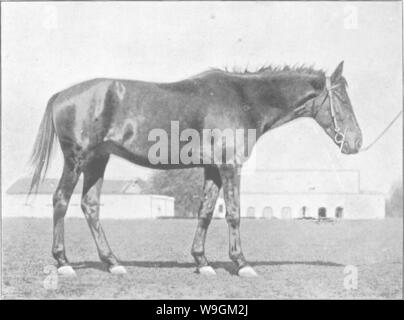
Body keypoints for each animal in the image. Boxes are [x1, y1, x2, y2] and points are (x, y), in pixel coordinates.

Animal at [28, 61, 362, 276]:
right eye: (342, 98)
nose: (356, 142)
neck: (243, 99)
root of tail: (62, 95)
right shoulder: (229, 166)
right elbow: (233, 213)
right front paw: (242, 264)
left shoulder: (212, 169)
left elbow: (205, 212)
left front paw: (202, 262)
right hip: (77, 160)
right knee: (61, 201)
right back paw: (64, 263)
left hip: (98, 160)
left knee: (90, 205)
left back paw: (113, 263)